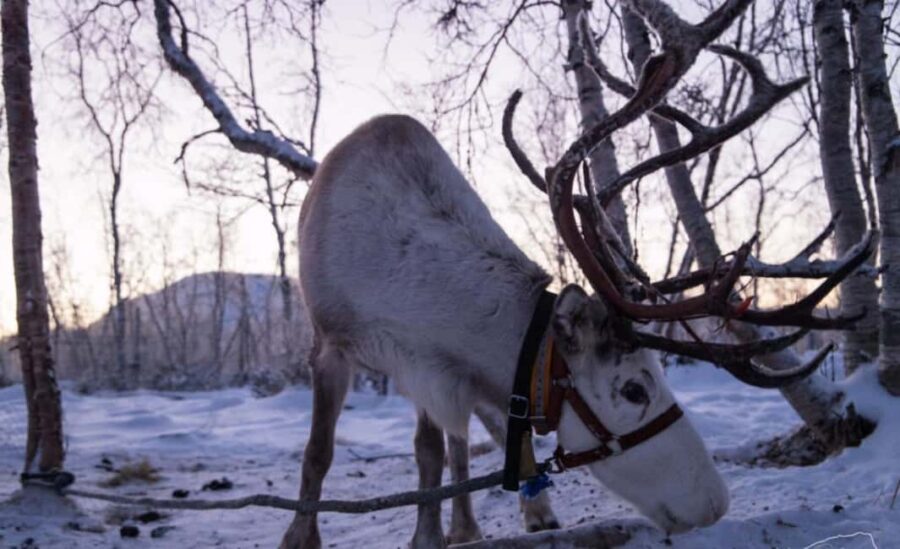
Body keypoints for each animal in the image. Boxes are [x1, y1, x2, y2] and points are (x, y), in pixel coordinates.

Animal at [279, 2, 873, 547]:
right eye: (634, 389)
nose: (716, 502)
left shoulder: (434, 369)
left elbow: (434, 453)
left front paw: (435, 535)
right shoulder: (336, 345)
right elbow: (318, 453)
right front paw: (300, 539)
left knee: (465, 442)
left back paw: (503, 518)